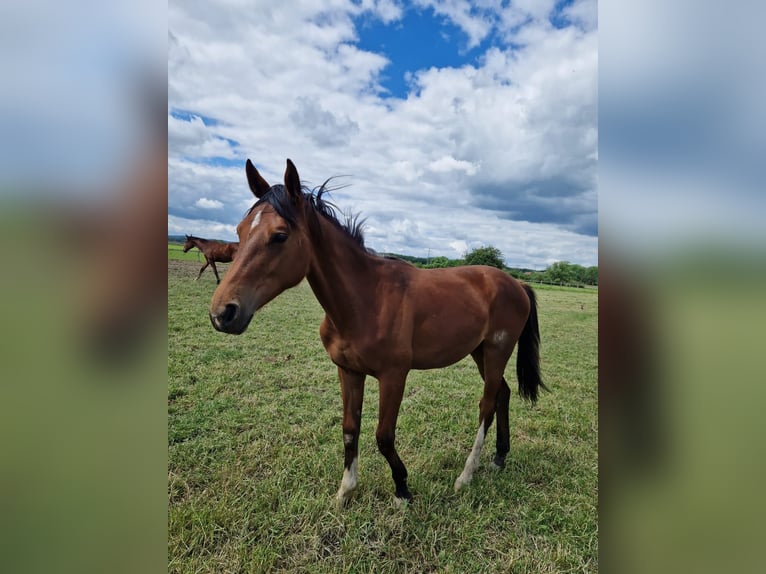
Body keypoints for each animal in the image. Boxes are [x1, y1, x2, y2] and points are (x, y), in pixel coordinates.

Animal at [210, 160, 544, 506]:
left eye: (279, 235)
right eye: (239, 231)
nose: (223, 313)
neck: (366, 299)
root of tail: (516, 283)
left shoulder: (394, 376)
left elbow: (383, 436)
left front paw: (402, 489)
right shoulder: (348, 371)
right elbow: (349, 429)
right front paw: (345, 491)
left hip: (496, 351)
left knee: (487, 405)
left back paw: (466, 475)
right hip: (480, 352)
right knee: (503, 394)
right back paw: (499, 457)